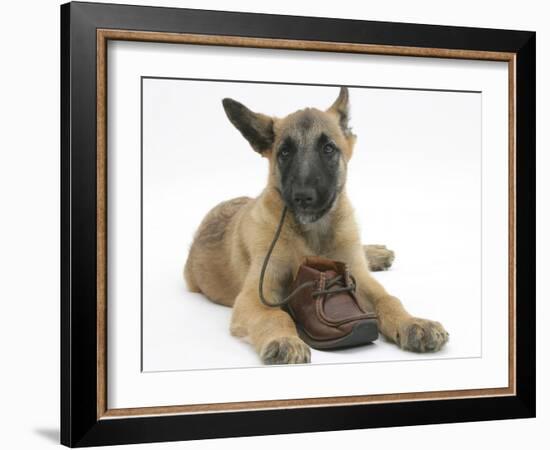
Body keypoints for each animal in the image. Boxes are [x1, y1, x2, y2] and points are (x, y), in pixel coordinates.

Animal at [184, 86, 448, 364]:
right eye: (285, 152)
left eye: (328, 149)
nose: (303, 196)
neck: (312, 234)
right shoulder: (255, 296)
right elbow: (275, 315)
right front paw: (284, 340)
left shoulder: (358, 276)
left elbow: (388, 299)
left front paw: (413, 322)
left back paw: (376, 253)